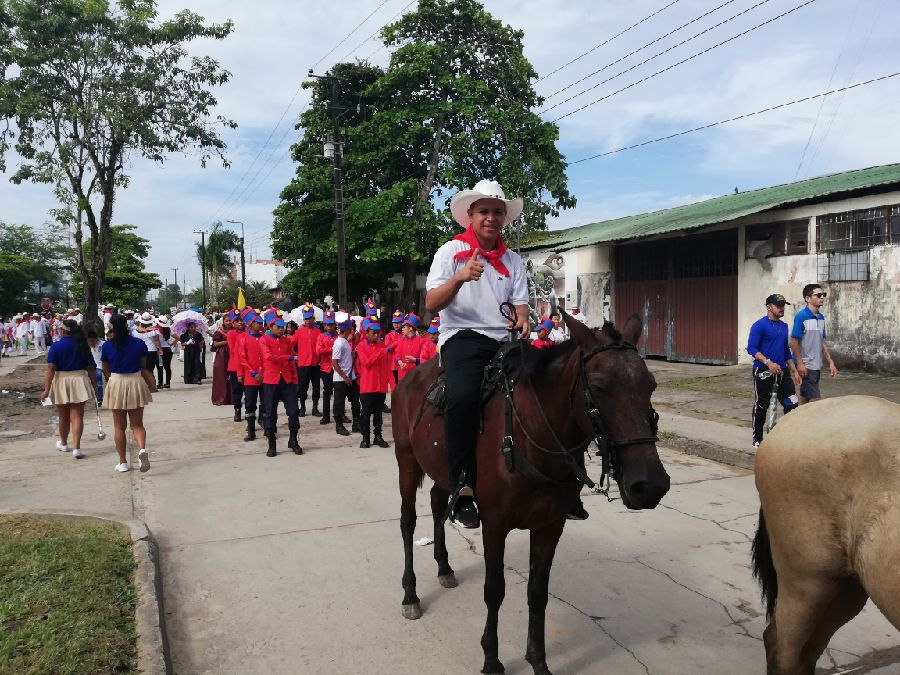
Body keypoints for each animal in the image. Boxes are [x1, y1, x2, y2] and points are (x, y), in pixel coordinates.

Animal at [392, 312, 668, 675]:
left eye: (650, 385)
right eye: (598, 386)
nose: (650, 485)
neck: (530, 438)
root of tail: (410, 377)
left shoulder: (550, 526)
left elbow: (538, 592)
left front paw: (538, 659)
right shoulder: (495, 524)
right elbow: (494, 590)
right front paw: (492, 660)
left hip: (443, 470)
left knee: (439, 506)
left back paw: (445, 568)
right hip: (408, 463)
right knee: (408, 523)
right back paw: (410, 595)